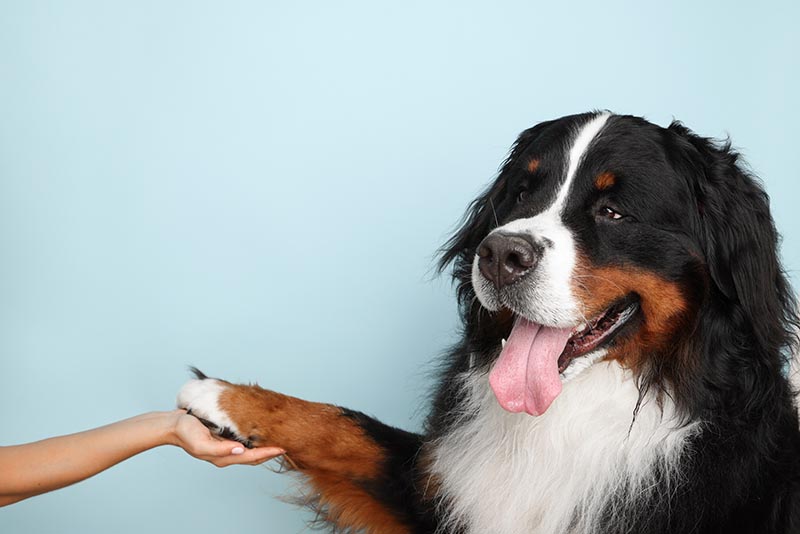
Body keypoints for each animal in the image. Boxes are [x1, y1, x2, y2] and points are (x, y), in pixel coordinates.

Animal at [177, 111, 800, 532]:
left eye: (613, 210)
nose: (499, 254)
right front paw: (228, 399)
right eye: (522, 192)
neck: (566, 420)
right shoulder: (442, 487)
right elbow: (345, 426)